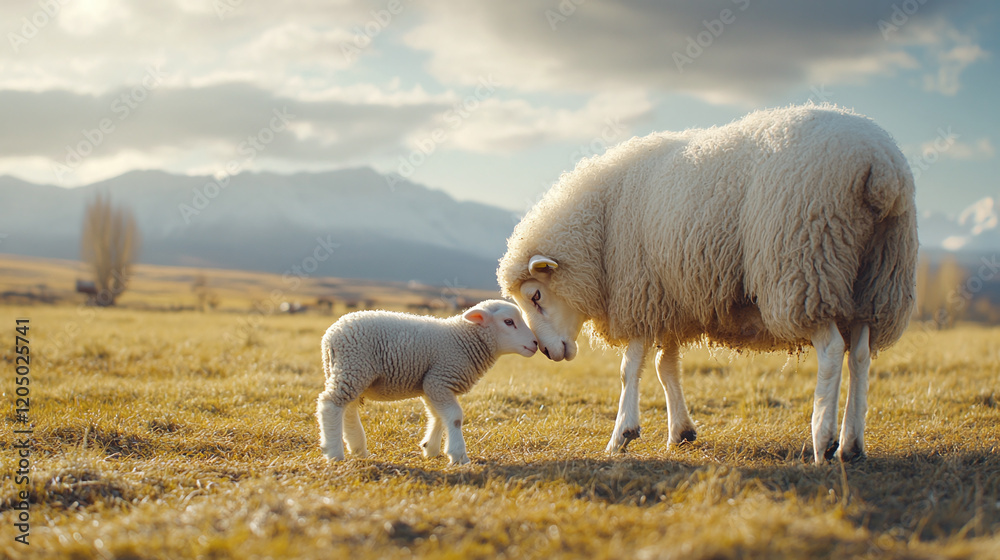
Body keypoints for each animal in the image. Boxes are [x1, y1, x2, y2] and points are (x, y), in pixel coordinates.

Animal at [316, 300, 538, 465]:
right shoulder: (440, 379)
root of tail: (330, 336)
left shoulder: (431, 383)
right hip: (354, 365)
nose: (535, 343)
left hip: (347, 371)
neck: (462, 340)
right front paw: (458, 455)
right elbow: (454, 417)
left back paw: (357, 448)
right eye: (508, 321)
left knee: (348, 407)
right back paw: (334, 452)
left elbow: (438, 415)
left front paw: (430, 448)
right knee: (330, 405)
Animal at [497, 104, 918, 463]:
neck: (601, 227)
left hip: (805, 266)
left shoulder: (640, 292)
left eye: (536, 295)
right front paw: (680, 432)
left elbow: (629, 369)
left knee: (831, 350)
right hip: (878, 281)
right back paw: (852, 444)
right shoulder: (667, 299)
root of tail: (880, 164)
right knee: (860, 354)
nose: (547, 352)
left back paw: (823, 439)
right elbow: (666, 367)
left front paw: (622, 435)